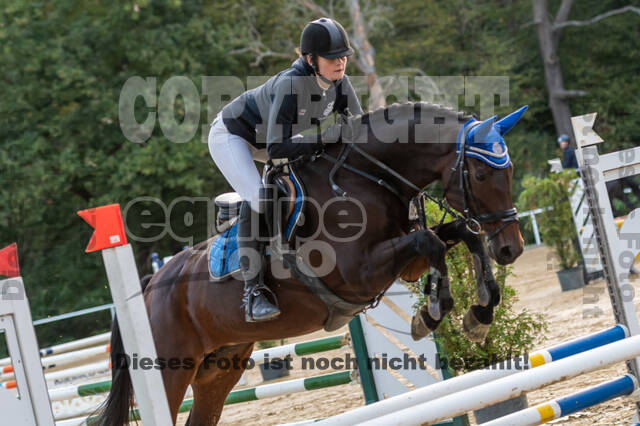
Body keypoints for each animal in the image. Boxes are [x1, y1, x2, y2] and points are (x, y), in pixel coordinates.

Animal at [95, 102, 527, 425]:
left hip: (219, 368)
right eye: (481, 173)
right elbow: (432, 241)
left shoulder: (405, 266)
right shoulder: (358, 274)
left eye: (509, 170)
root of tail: (150, 285)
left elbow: (461, 235)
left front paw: (479, 314)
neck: (365, 179)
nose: (512, 249)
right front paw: (432, 313)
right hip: (169, 371)